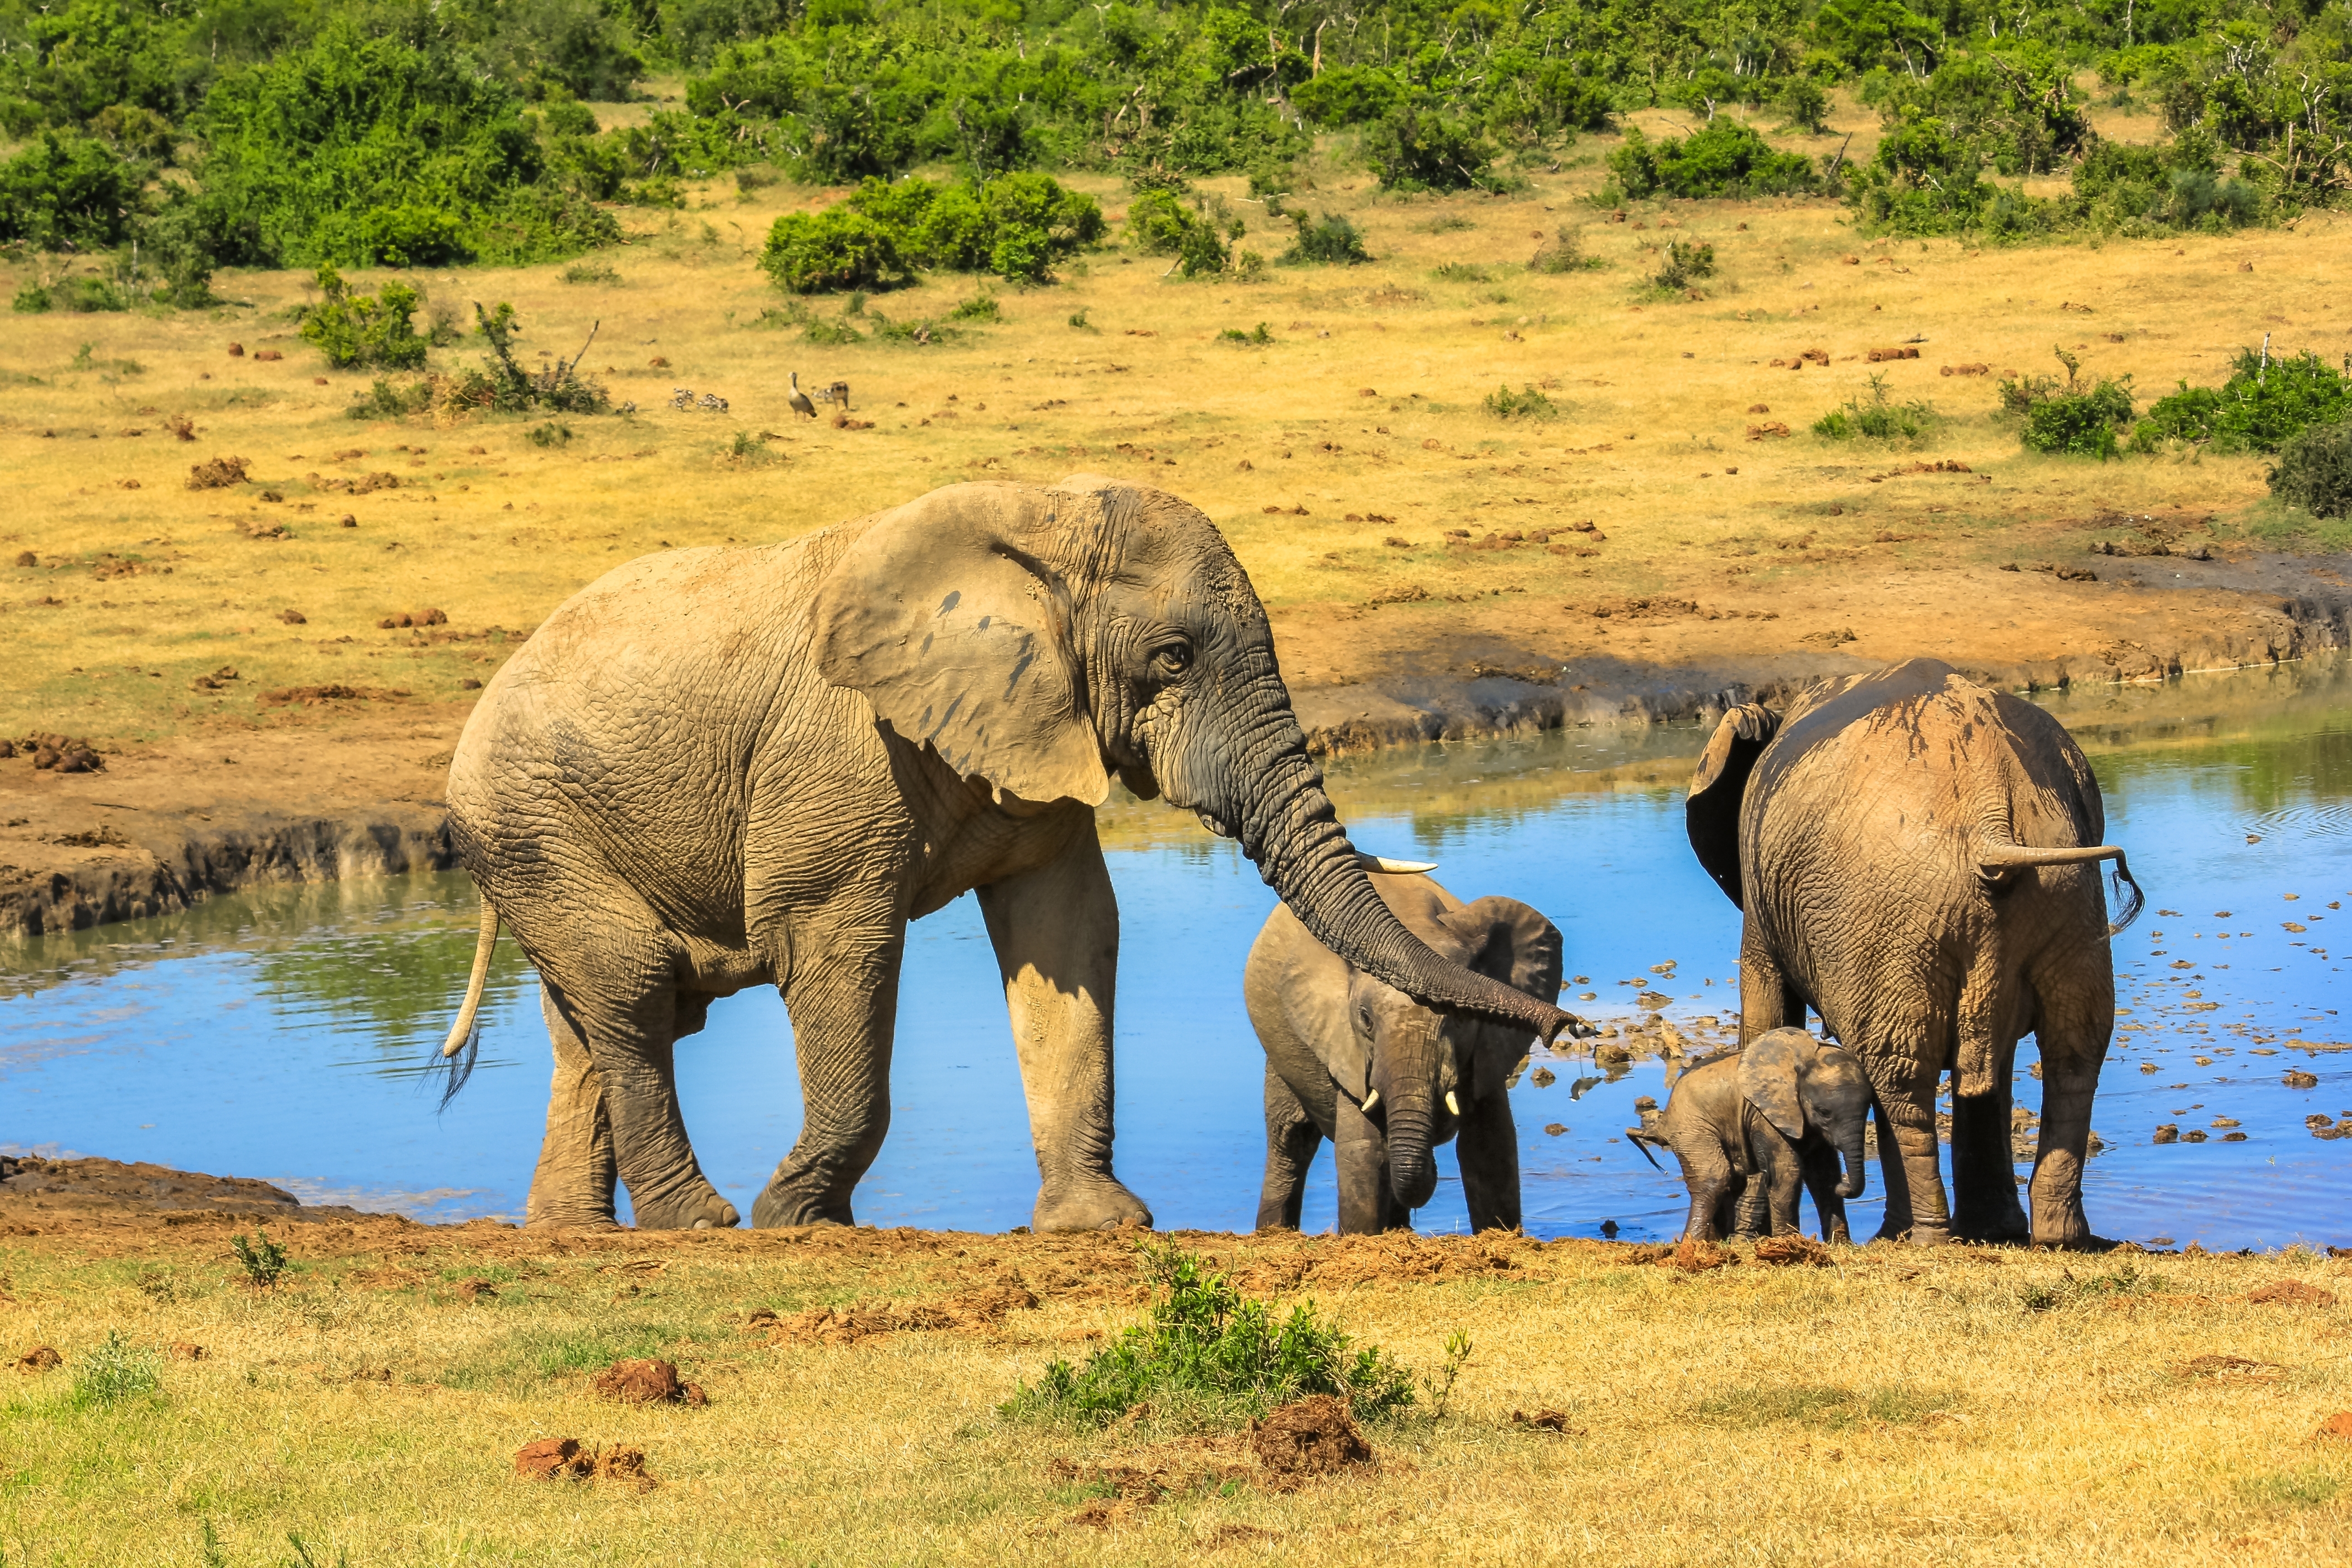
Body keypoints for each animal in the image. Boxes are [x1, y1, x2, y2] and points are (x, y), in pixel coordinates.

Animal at [1245, 872, 1562, 1235]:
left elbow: (1490, 1145)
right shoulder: (1347, 1048)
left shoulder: (1488, 1049)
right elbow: (1364, 1149)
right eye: (1366, 1019)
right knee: (1290, 1141)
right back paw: (1272, 1232)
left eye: (1462, 1017)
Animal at [1625, 1028, 1870, 1244]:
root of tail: (1664, 1120)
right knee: (1714, 1178)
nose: (1845, 1186)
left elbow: (1824, 1174)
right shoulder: (1765, 1115)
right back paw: (1692, 1244)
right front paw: (1789, 1244)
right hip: (1691, 1127)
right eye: (1824, 1112)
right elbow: (1786, 1172)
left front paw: (1842, 1245)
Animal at [1685, 657, 2141, 1249]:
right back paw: (2056, 1237)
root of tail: (1990, 812)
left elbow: (1768, 1009)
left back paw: (1912, 1238)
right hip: (2065, 890)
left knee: (1898, 1072)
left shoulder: (1761, 903)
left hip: (1888, 915)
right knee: (2074, 1054)